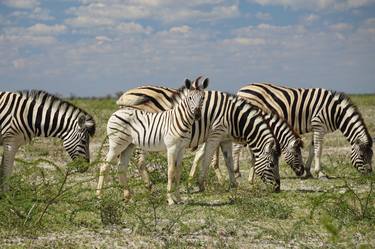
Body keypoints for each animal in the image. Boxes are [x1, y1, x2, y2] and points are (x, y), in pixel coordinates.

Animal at [116, 78, 284, 193]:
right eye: (272, 164)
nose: (277, 188)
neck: (233, 117)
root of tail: (124, 97)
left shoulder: (225, 139)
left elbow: (228, 161)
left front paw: (234, 185)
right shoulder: (215, 135)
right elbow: (207, 159)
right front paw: (201, 184)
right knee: (139, 161)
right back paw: (149, 186)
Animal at [238, 82, 374, 178]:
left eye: (372, 155)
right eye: (362, 155)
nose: (369, 174)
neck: (336, 113)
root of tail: (242, 89)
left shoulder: (316, 127)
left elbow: (312, 149)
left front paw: (308, 172)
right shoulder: (319, 126)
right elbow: (318, 150)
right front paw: (320, 173)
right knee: (237, 147)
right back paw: (238, 172)